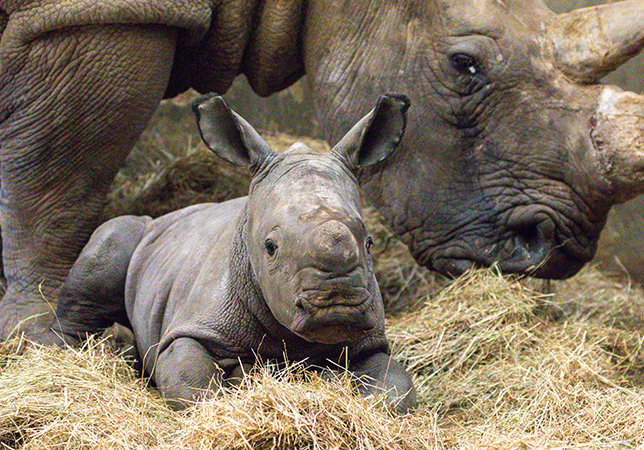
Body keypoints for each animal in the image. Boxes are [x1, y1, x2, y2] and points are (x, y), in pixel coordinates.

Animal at [52, 94, 417, 413]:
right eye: (270, 248)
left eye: (369, 243)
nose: (338, 304)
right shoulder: (191, 327)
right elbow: (193, 384)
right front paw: (235, 387)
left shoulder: (368, 342)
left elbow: (397, 389)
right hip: (140, 234)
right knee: (113, 239)